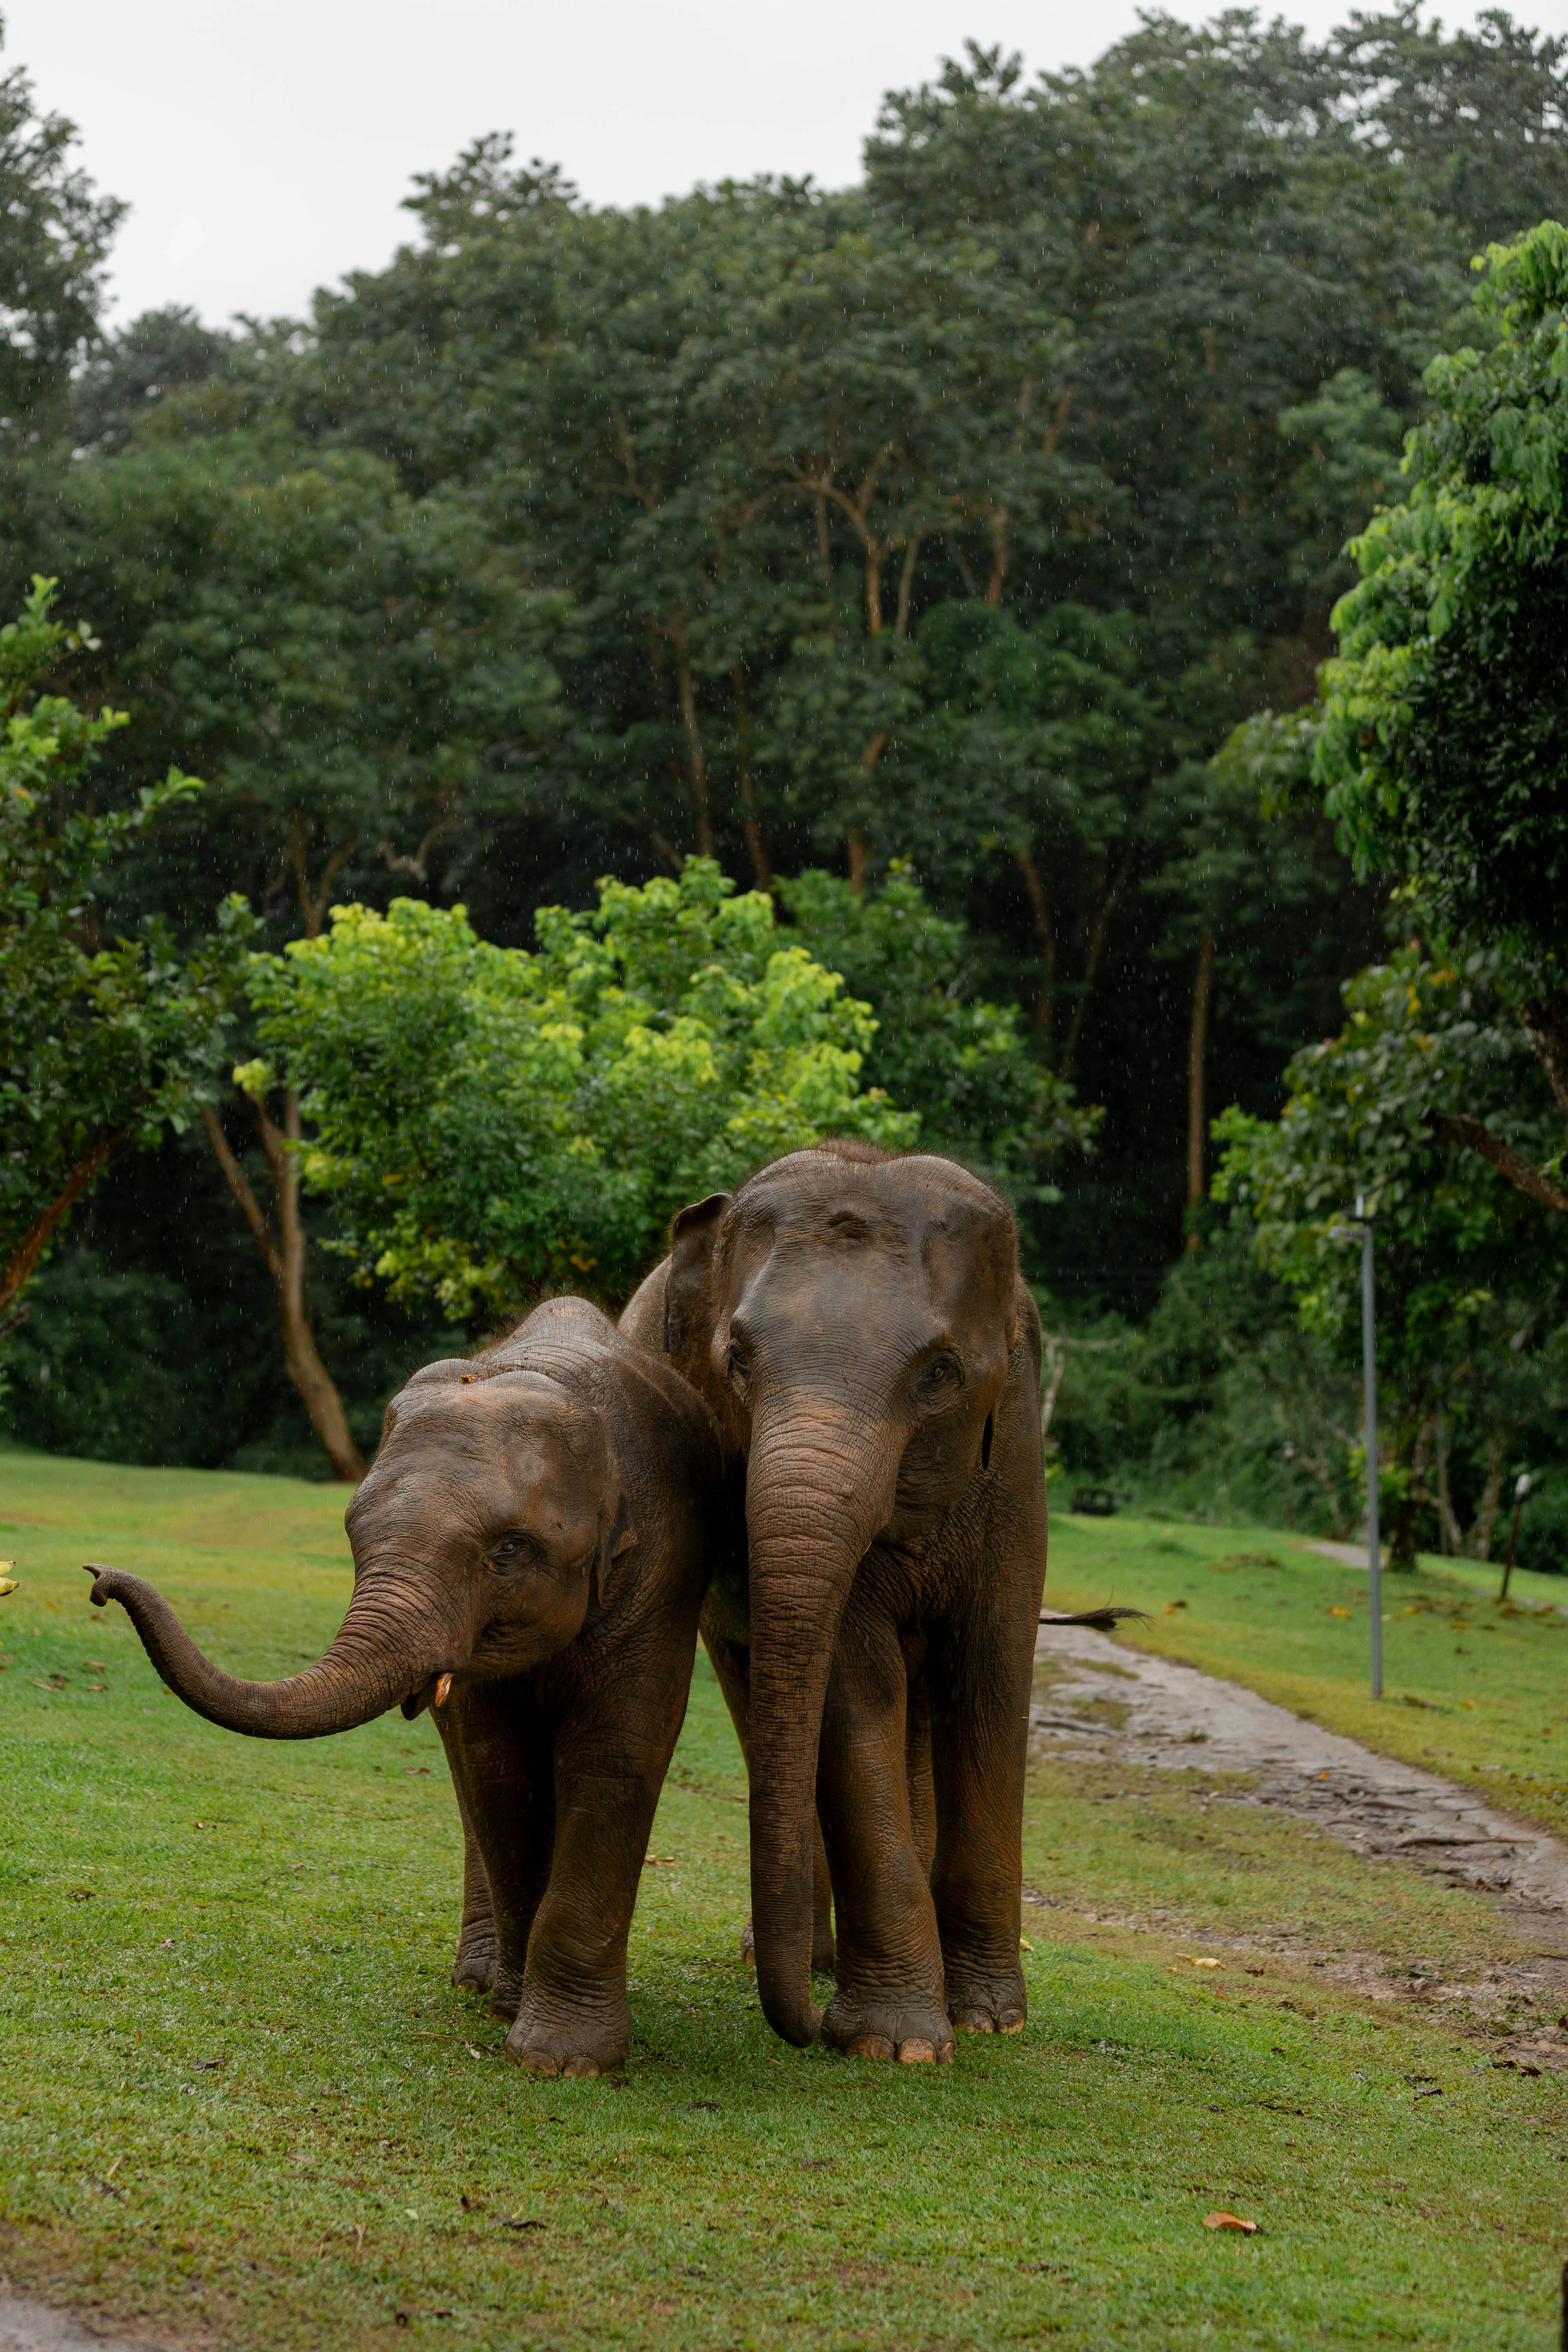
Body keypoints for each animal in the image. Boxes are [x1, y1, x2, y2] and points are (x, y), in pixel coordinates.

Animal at [85, 1297, 726, 2079]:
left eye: (509, 1550)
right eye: (353, 1532)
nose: (99, 1581)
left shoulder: (663, 1569)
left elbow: (617, 1753)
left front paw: (560, 2062)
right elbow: (494, 1771)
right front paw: (512, 2009)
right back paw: (480, 1981)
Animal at [619, 1137, 1049, 2066]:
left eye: (939, 1374)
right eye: (736, 1360)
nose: (807, 2030)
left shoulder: (1017, 1465)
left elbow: (992, 1673)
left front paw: (990, 2019)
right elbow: (855, 1688)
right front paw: (898, 2045)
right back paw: (815, 1961)